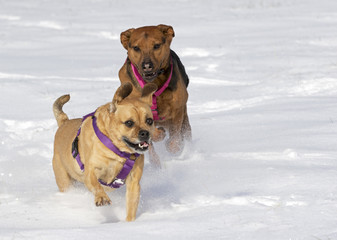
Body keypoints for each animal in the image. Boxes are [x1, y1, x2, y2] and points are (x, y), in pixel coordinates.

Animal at [52, 82, 156, 221]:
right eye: (129, 123)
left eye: (149, 121)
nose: (145, 133)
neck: (118, 151)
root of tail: (64, 122)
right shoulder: (91, 171)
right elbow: (96, 185)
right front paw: (102, 198)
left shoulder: (134, 181)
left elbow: (132, 204)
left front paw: (130, 223)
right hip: (64, 180)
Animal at [118, 24, 192, 167]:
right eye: (136, 48)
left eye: (156, 46)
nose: (147, 66)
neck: (153, 84)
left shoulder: (178, 109)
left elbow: (174, 136)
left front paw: (173, 146)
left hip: (185, 121)